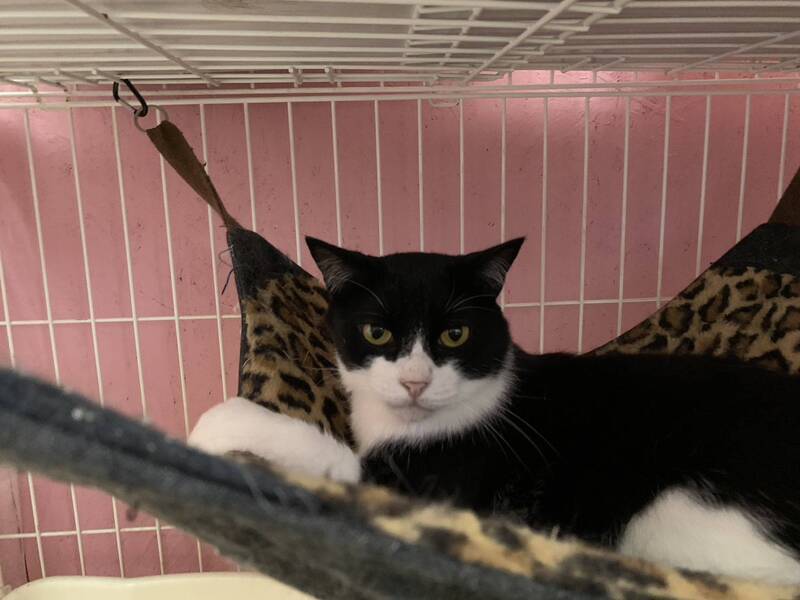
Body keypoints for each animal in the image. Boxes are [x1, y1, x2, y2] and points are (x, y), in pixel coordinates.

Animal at [191, 237, 800, 585]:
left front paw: (217, 425)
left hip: (677, 513)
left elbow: (337, 461)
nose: (415, 381)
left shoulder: (442, 485)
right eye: (376, 332)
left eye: (455, 334)